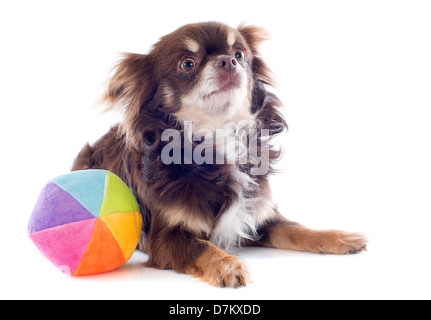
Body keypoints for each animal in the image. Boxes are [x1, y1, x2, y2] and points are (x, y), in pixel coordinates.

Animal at [71, 21, 368, 288]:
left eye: (239, 54)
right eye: (187, 64)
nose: (227, 62)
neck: (218, 138)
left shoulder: (257, 217)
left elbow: (296, 228)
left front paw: (337, 237)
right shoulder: (165, 239)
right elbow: (201, 246)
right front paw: (227, 264)